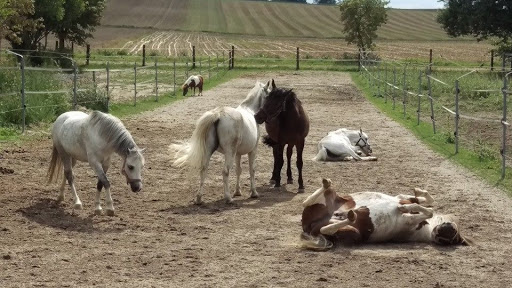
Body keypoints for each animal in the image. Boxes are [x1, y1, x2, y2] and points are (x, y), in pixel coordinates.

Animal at [300, 178, 472, 250]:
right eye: (454, 233)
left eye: (452, 237)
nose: (448, 227)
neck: (426, 229)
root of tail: (308, 227)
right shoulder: (402, 198)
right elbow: (423, 201)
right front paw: (417, 194)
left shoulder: (408, 220)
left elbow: (428, 211)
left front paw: (406, 208)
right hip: (336, 200)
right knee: (309, 201)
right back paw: (328, 184)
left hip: (354, 233)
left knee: (326, 228)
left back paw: (351, 216)